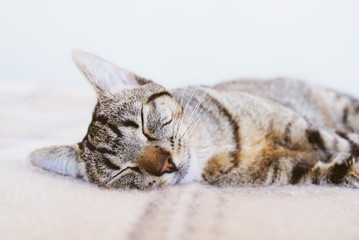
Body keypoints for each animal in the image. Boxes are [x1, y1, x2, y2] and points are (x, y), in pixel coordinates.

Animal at [28, 50, 359, 189]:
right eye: (123, 170)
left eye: (144, 124)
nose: (166, 164)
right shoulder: (289, 170)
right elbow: (336, 170)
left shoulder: (302, 128)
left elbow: (343, 142)